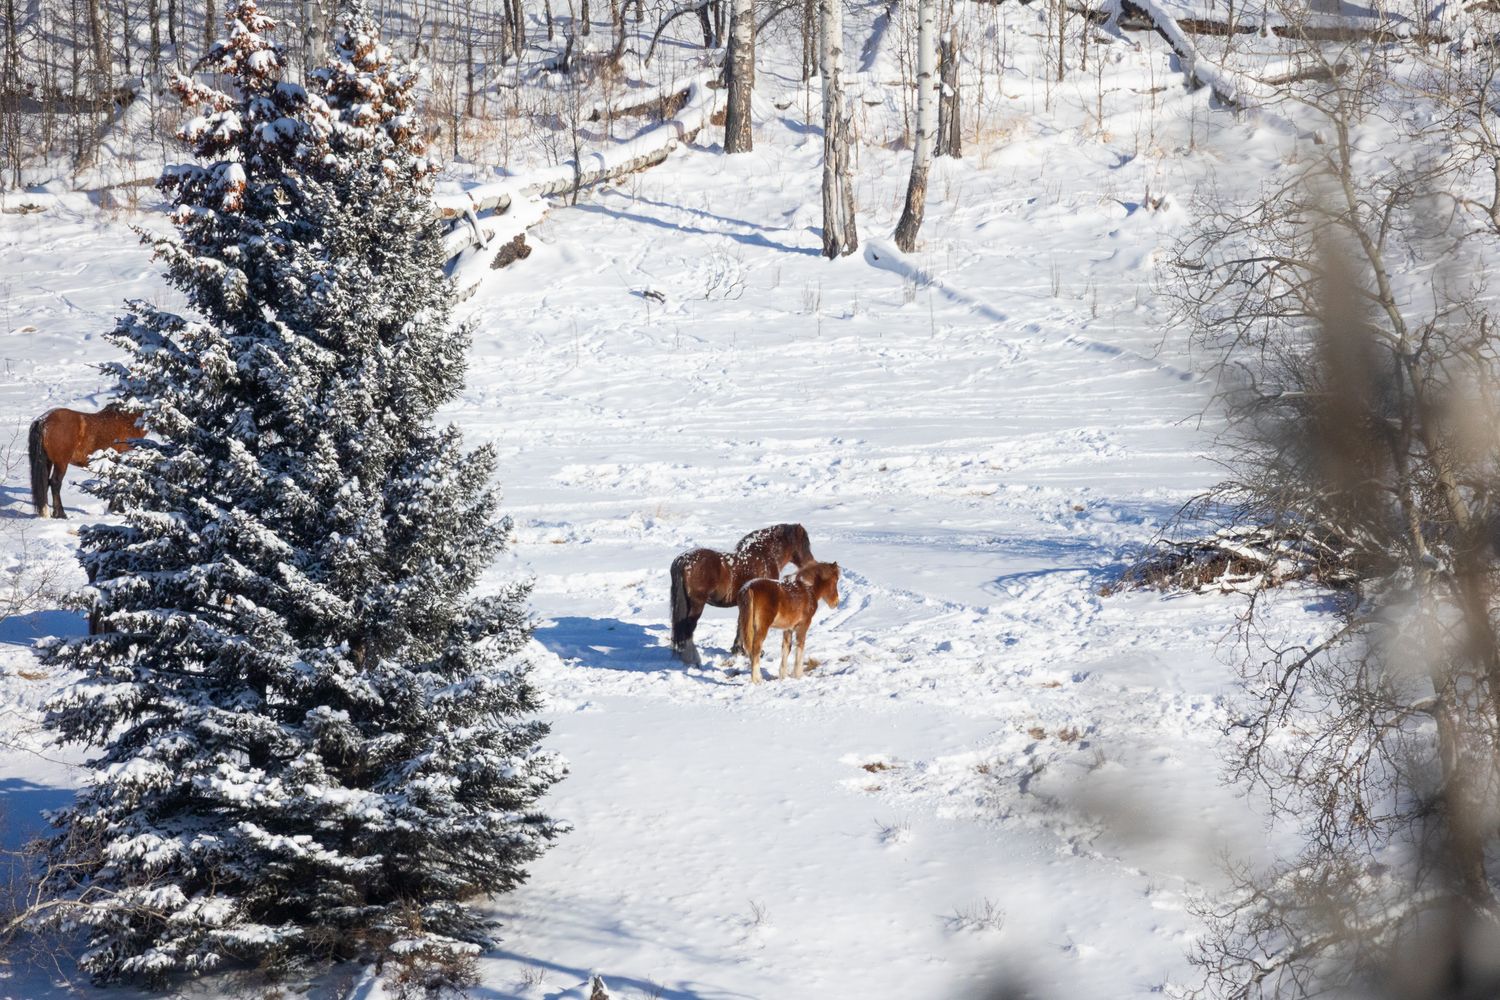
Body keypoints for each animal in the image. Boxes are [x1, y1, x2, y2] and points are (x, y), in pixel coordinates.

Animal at [669, 523, 815, 665]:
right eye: (805, 543)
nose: (810, 564)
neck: (764, 555)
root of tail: (682, 560)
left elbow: (740, 624)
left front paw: (739, 650)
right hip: (697, 604)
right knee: (688, 628)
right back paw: (693, 659)